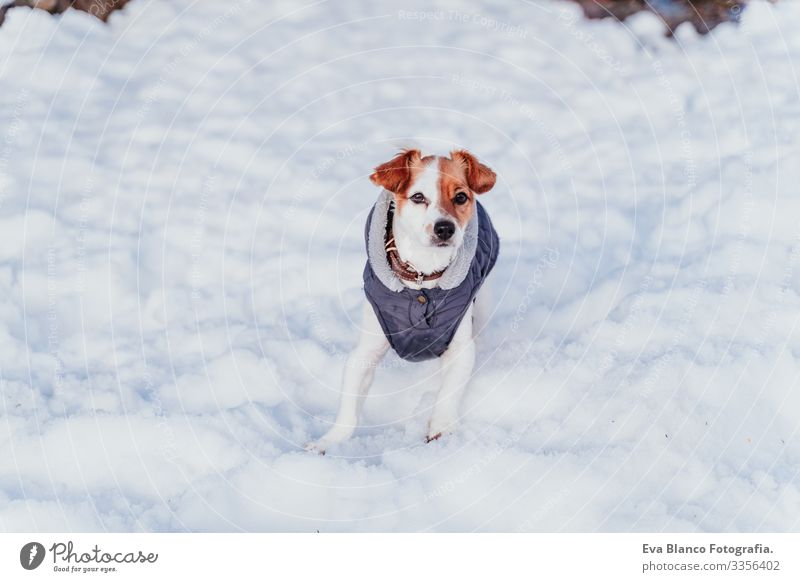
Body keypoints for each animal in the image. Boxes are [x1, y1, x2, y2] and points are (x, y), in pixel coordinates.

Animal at [308, 148, 500, 454]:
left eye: (460, 197)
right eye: (418, 197)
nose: (444, 228)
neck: (422, 277)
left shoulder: (460, 347)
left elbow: (448, 394)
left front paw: (441, 430)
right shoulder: (366, 351)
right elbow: (349, 406)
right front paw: (329, 441)